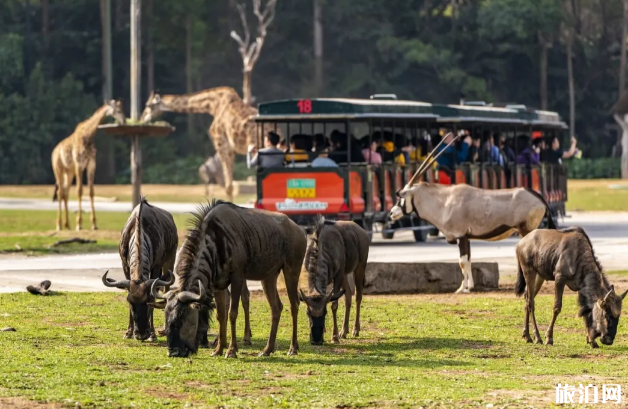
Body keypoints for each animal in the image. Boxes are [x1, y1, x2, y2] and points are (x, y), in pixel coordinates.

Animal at [51, 99, 126, 230]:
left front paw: (94, 224)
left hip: (69, 172)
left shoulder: (91, 164)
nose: (124, 121)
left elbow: (91, 192)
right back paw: (59, 225)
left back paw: (67, 224)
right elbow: (80, 191)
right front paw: (79, 224)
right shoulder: (79, 165)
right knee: (60, 192)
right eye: (118, 110)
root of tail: (54, 151)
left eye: (122, 109)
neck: (89, 135)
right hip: (58, 169)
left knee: (65, 192)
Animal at [142, 87, 280, 202]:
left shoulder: (222, 145)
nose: (142, 118)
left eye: (148, 105)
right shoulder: (231, 150)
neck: (212, 106)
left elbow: (228, 185)